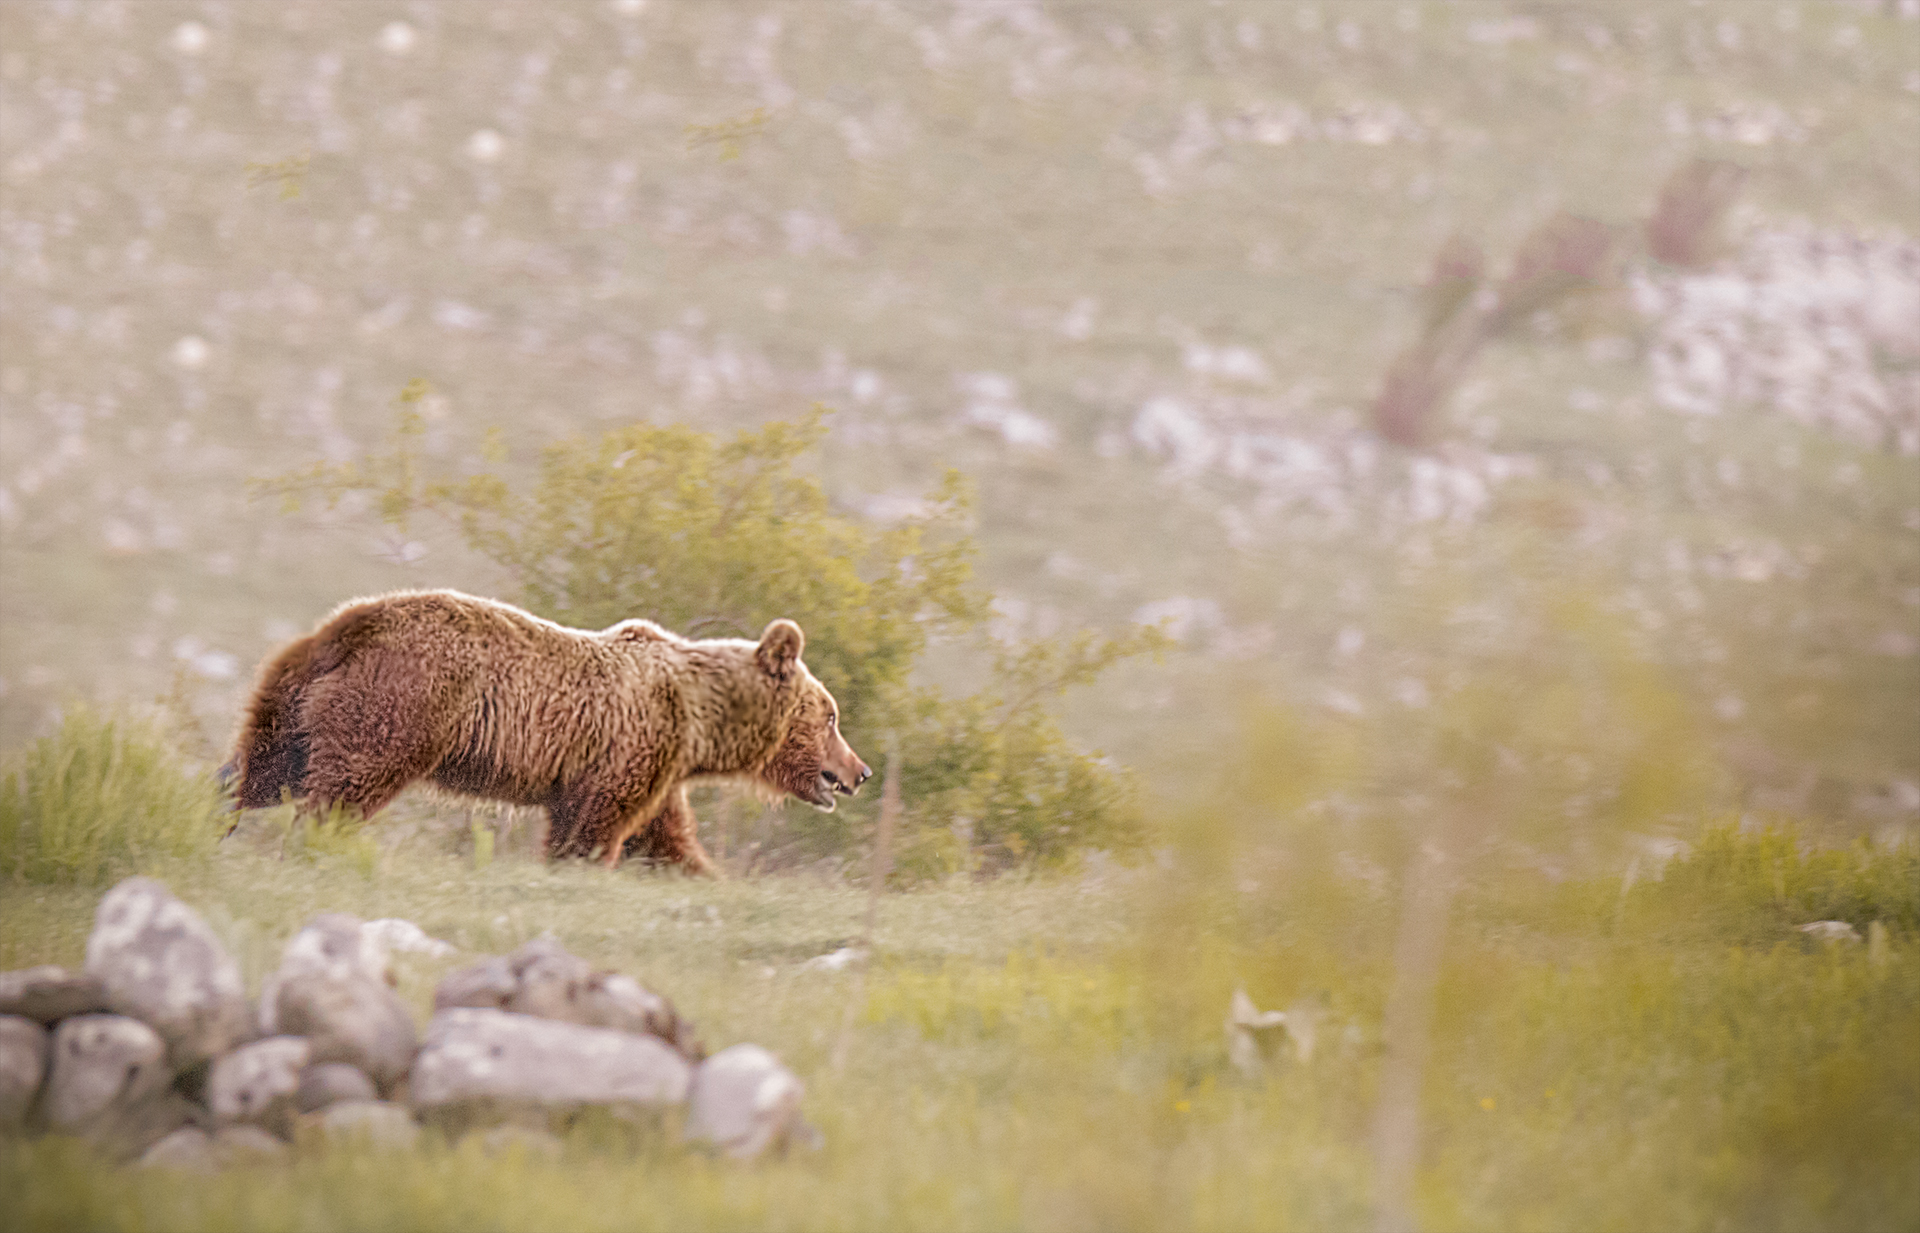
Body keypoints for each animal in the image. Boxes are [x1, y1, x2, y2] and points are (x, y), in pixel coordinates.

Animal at [224, 589, 870, 875]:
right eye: (832, 715)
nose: (859, 771)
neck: (702, 723)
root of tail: (348, 624)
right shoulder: (633, 743)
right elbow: (592, 825)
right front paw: (580, 865)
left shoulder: (657, 768)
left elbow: (663, 838)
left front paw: (705, 875)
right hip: (401, 703)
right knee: (345, 786)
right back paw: (316, 845)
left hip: (292, 702)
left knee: (260, 772)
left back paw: (218, 816)